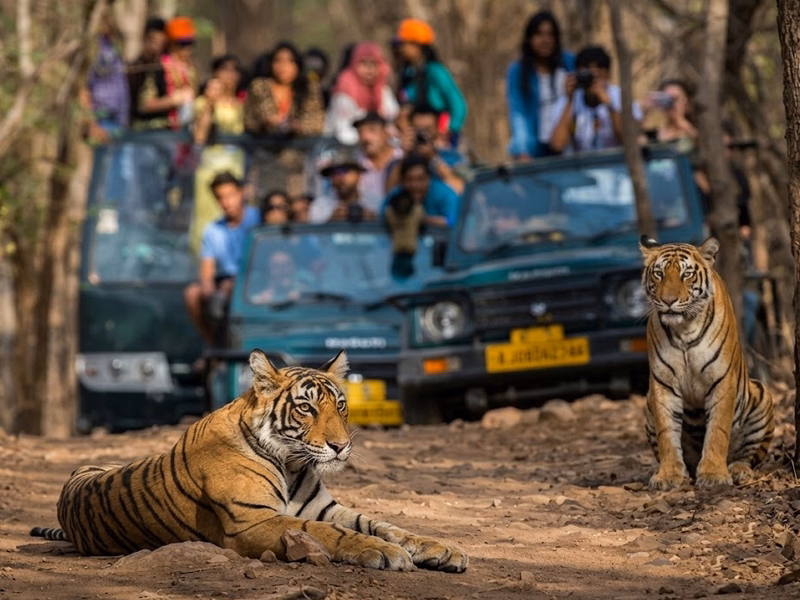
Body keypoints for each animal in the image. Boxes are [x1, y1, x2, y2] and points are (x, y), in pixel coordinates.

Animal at [30, 350, 468, 572]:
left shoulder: (325, 507)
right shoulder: (253, 521)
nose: (341, 446)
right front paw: (386, 553)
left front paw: (443, 549)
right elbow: (331, 534)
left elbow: (384, 524)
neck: (292, 463)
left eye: (341, 406)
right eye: (307, 408)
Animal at [639, 236, 774, 490]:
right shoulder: (663, 385)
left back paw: (739, 471)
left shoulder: (722, 379)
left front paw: (713, 474)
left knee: (749, 455)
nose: (668, 301)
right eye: (659, 273)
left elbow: (717, 430)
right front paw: (669, 475)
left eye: (686, 274)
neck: (683, 329)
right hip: (648, 405)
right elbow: (666, 433)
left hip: (762, 396)